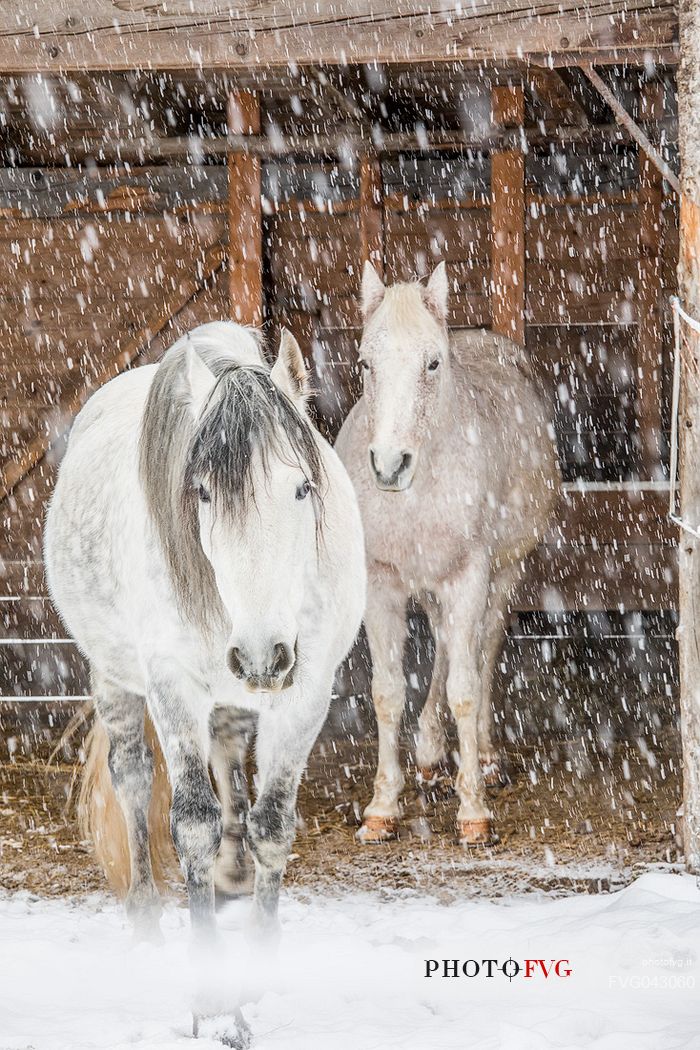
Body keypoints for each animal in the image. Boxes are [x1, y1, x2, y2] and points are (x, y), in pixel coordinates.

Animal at [44, 323, 367, 1045]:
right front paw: (215, 1003)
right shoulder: (172, 690)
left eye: (302, 489)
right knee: (133, 778)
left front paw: (262, 968)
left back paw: (233, 873)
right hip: (116, 678)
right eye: (203, 494)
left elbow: (272, 822)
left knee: (231, 770)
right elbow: (190, 820)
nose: (262, 654)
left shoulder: (306, 694)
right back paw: (145, 916)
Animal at [335, 262, 562, 844]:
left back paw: (482, 758)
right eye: (365, 363)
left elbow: (465, 684)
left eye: (432, 362)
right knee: (442, 645)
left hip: (502, 574)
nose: (390, 465)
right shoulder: (383, 584)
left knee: (483, 648)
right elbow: (388, 691)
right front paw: (382, 808)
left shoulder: (469, 576)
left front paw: (473, 812)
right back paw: (431, 757)